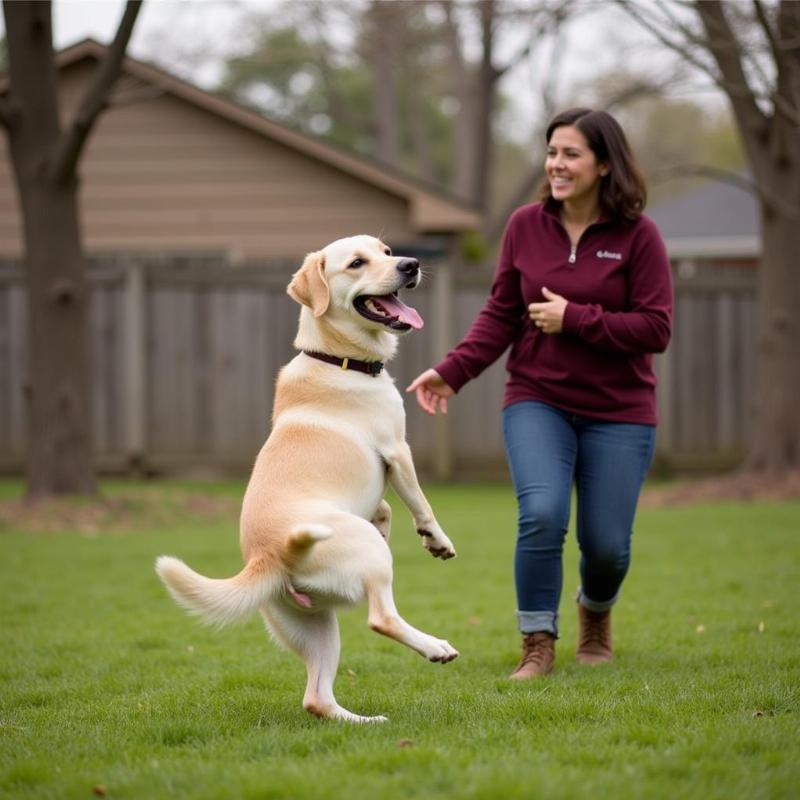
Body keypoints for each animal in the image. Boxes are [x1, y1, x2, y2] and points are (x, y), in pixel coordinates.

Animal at [155, 234, 456, 720]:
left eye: (387, 251)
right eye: (356, 263)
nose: (410, 264)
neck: (337, 358)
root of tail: (268, 556)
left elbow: (386, 506)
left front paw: (389, 521)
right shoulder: (397, 450)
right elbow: (419, 502)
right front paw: (437, 540)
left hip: (315, 626)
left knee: (317, 698)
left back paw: (365, 721)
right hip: (368, 561)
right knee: (381, 619)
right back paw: (435, 648)